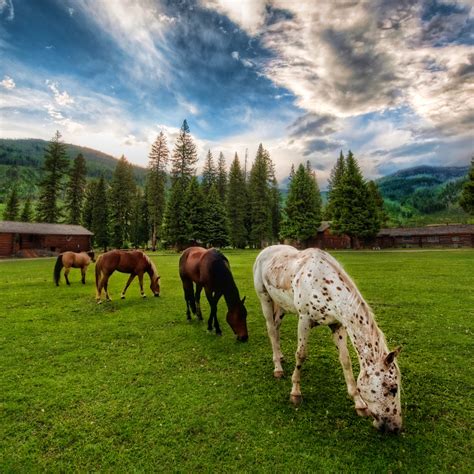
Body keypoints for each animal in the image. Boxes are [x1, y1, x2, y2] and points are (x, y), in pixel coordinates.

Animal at [254, 244, 402, 434]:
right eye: (392, 388)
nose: (395, 427)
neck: (324, 284)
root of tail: (266, 250)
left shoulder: (337, 325)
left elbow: (345, 360)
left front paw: (359, 404)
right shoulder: (304, 320)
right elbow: (301, 354)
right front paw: (295, 393)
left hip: (282, 306)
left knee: (277, 328)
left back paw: (280, 357)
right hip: (264, 298)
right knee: (272, 330)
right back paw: (278, 369)